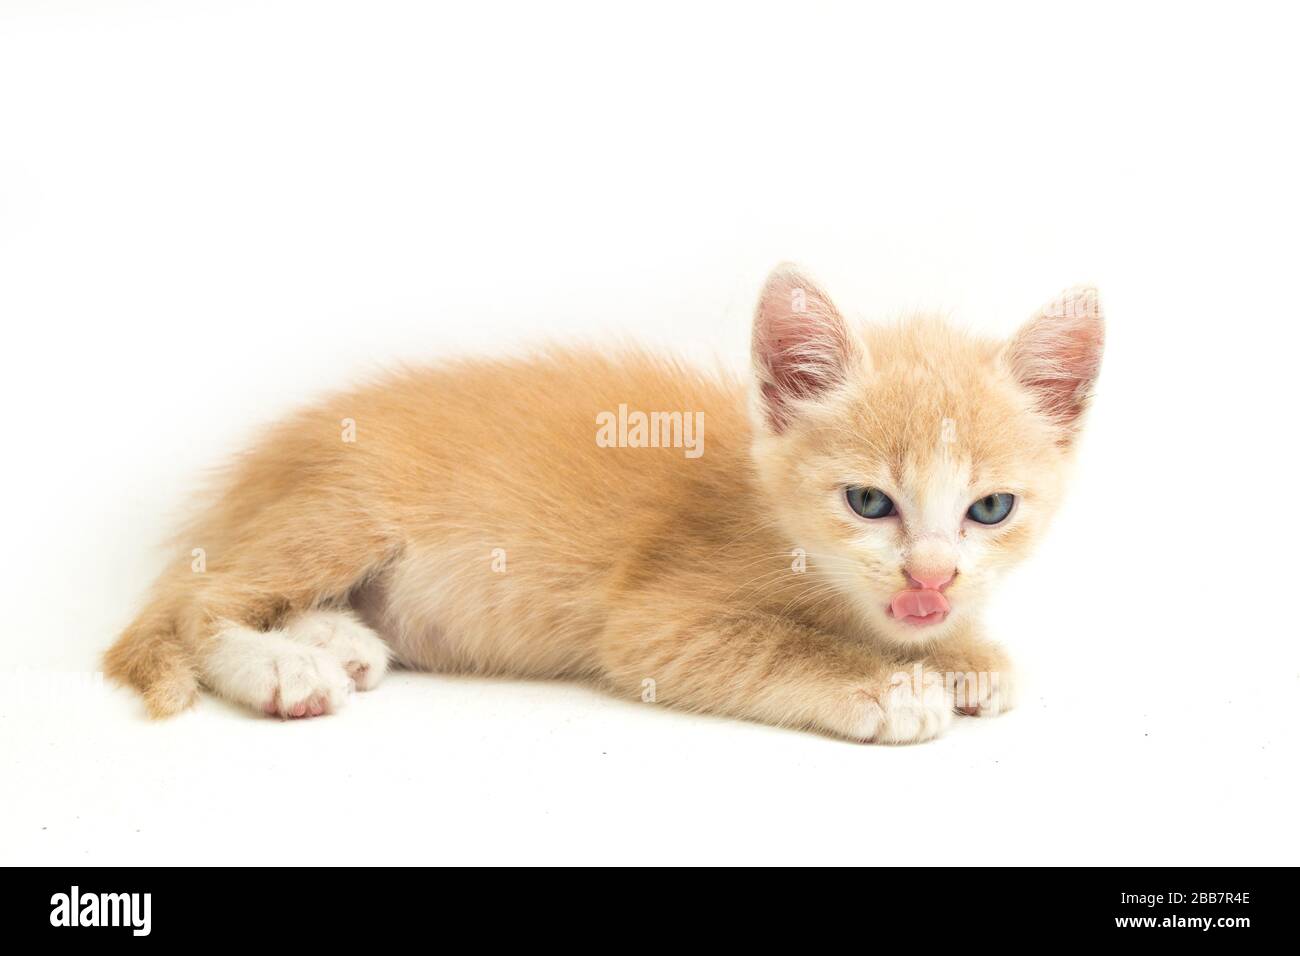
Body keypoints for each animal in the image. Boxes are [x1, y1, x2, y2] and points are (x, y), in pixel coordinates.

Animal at [106, 265, 1107, 743]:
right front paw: (890, 683)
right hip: (345, 509)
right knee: (194, 604)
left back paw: (336, 640)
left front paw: (965, 652)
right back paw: (282, 668)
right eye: (868, 501)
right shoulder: (656, 622)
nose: (930, 579)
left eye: (990, 510)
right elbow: (770, 645)